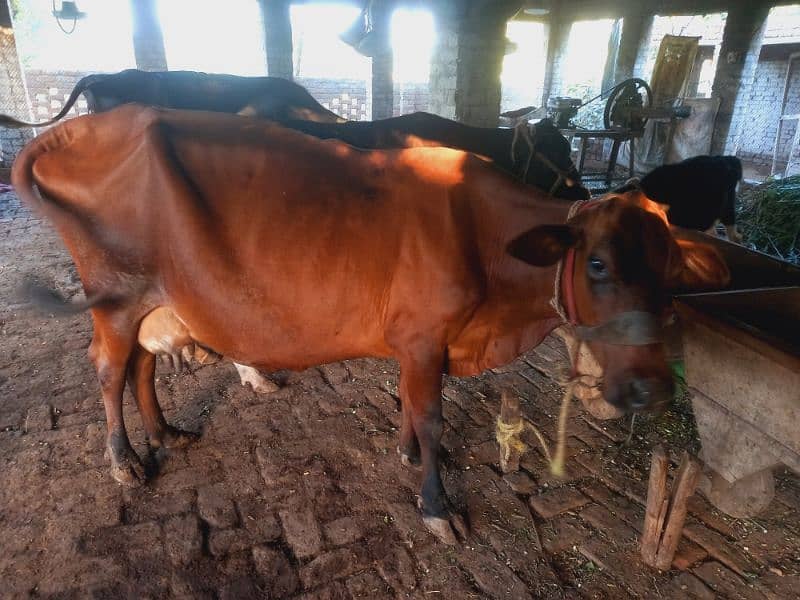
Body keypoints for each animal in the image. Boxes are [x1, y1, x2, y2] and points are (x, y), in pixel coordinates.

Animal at [12, 106, 728, 544]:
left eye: (670, 266)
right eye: (598, 263)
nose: (653, 388)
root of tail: (75, 131)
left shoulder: (424, 344)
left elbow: (411, 407)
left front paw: (407, 452)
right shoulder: (424, 337)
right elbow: (431, 416)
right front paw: (437, 506)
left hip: (151, 301)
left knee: (141, 365)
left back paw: (166, 433)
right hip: (114, 298)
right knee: (109, 369)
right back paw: (126, 461)